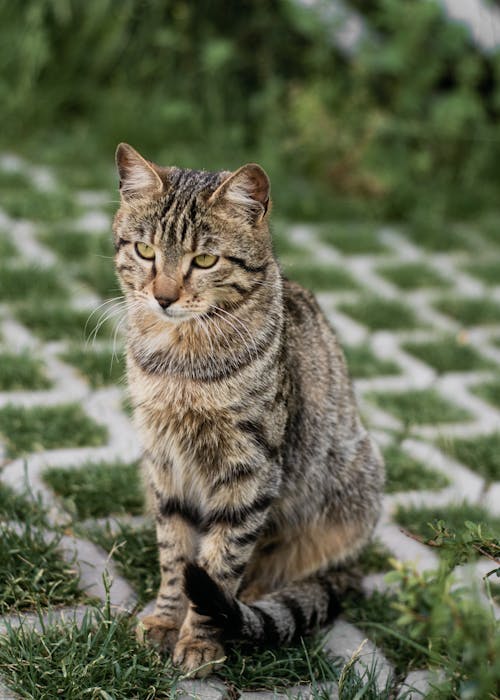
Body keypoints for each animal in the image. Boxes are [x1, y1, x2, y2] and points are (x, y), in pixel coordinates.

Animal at [113, 142, 384, 680]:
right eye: (145, 251)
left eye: (204, 259)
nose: (164, 297)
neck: (180, 359)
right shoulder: (163, 461)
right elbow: (175, 554)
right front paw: (166, 620)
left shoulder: (250, 470)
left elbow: (220, 564)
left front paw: (200, 640)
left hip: (355, 490)